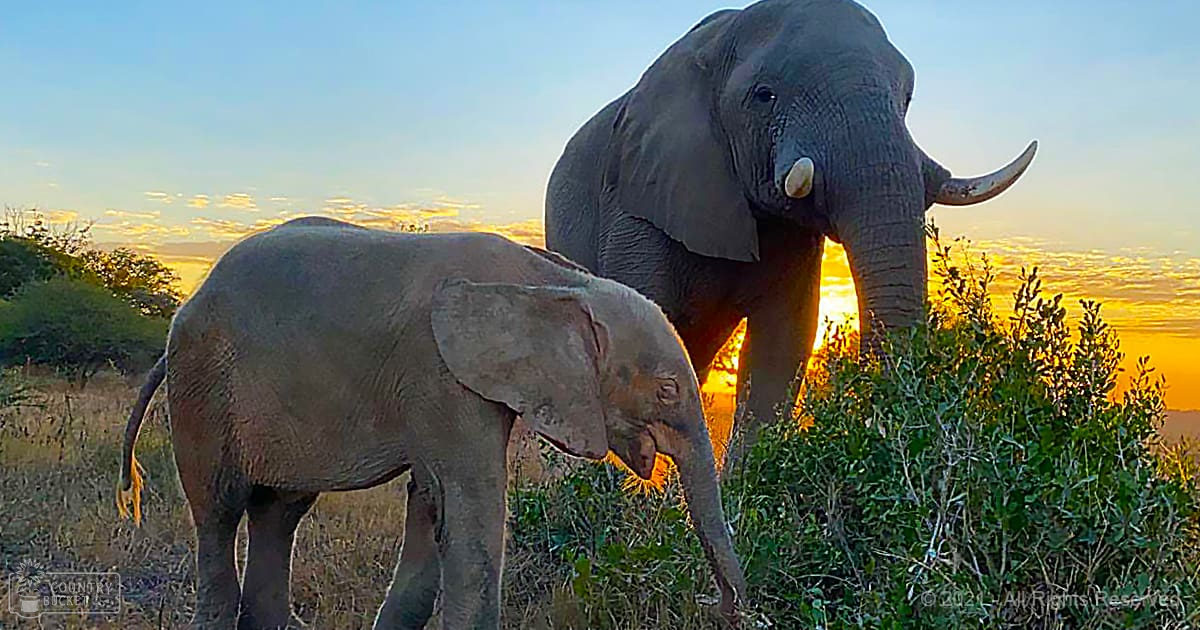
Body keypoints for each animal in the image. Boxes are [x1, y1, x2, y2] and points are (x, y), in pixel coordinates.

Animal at [117, 217, 746, 629]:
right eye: (666, 390)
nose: (723, 609)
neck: (551, 281)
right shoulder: (439, 372)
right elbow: (472, 513)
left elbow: (432, 508)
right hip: (204, 385)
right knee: (220, 511)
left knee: (279, 511)